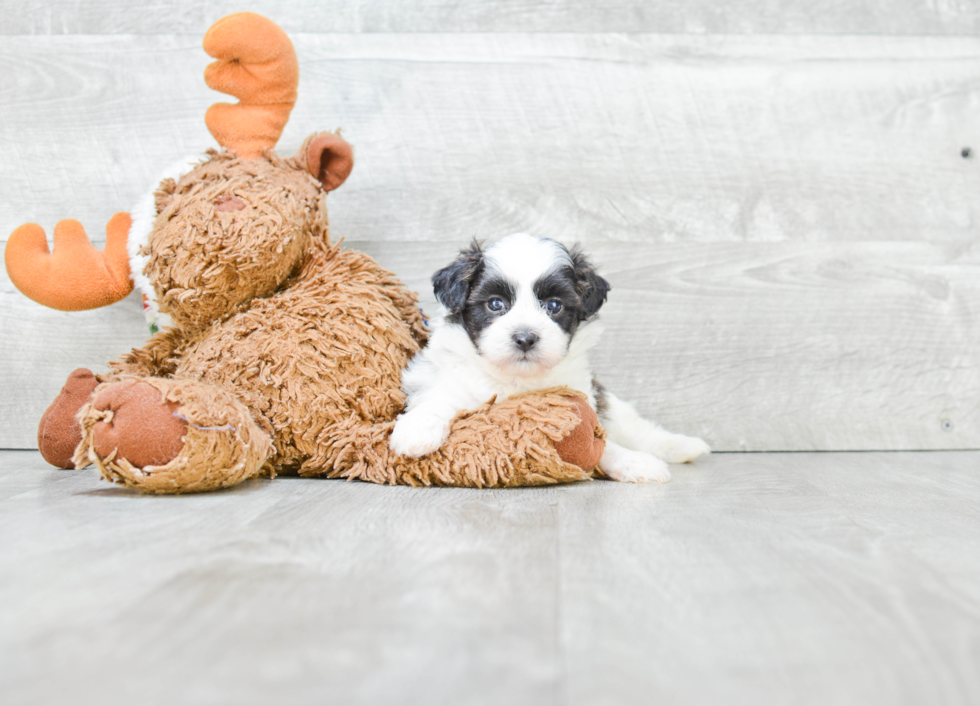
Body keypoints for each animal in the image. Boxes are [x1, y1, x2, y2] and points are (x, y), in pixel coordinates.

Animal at [386, 234, 708, 482]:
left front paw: (633, 462)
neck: (517, 379)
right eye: (495, 304)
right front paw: (417, 430)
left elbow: (603, 441)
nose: (525, 338)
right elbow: (438, 399)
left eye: (554, 306)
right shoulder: (450, 380)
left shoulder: (582, 395)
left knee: (636, 430)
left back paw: (683, 446)